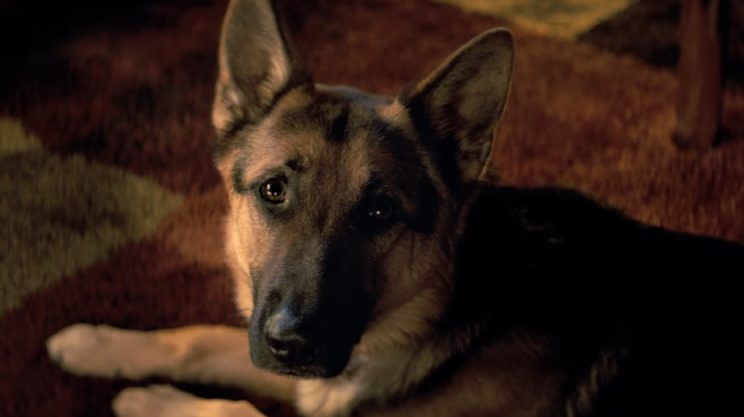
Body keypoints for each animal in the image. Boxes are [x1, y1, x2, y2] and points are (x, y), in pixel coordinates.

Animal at [49, 0, 740, 416]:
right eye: (274, 190)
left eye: (380, 213)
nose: (292, 344)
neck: (438, 309)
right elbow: (201, 339)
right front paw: (98, 344)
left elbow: (235, 406)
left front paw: (152, 402)